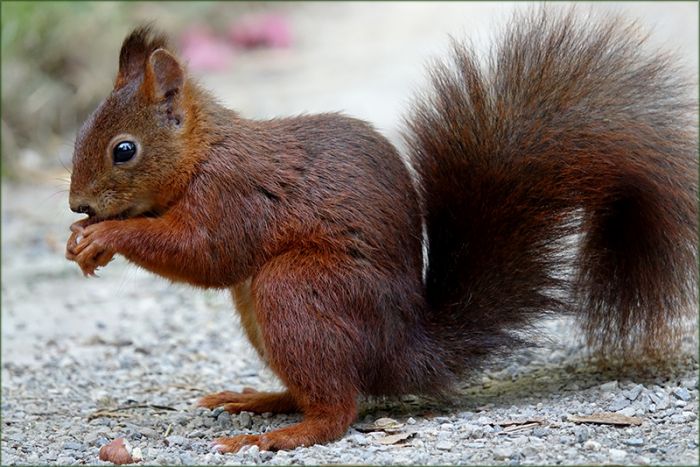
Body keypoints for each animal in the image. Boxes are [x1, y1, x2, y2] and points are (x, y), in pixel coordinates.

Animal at [66, 10, 697, 453]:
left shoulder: (233, 196)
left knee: (338, 409)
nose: (77, 205)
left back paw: (280, 434)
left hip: (295, 289)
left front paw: (104, 238)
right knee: (326, 390)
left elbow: (205, 253)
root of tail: (404, 347)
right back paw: (262, 400)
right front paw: (82, 239)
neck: (202, 153)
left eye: (124, 150)